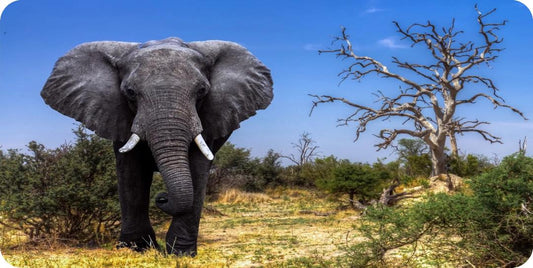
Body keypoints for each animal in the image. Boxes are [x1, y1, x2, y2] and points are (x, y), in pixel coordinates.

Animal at [41, 37, 272, 255]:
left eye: (202, 91)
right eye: (130, 92)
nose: (161, 197)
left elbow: (197, 171)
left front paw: (181, 254)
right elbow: (131, 172)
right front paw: (136, 249)